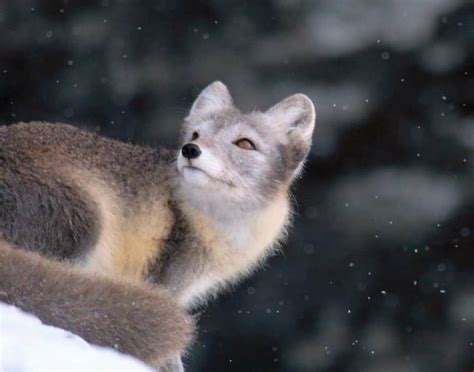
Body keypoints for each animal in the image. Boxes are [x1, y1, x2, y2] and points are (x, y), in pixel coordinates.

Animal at [0, 80, 318, 370]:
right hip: (85, 221)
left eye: (244, 143)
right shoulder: (168, 282)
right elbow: (171, 359)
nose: (190, 150)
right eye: (196, 134)